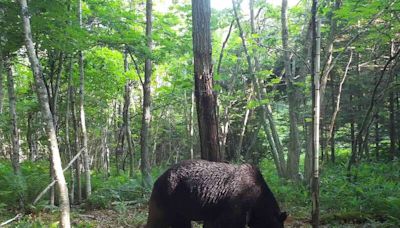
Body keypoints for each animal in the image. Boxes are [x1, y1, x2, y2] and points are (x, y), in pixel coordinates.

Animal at [145, 159, 286, 227]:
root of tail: (158, 178)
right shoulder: (236, 205)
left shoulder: (216, 211)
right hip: (167, 198)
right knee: (157, 221)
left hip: (180, 207)